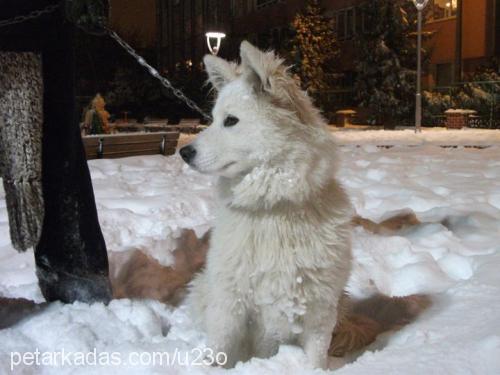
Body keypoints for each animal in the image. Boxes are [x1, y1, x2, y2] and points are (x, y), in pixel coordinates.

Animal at [180, 41, 352, 370]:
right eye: (213, 118)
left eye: (230, 120)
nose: (183, 152)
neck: (272, 208)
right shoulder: (229, 302)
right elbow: (220, 348)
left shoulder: (319, 308)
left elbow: (315, 357)